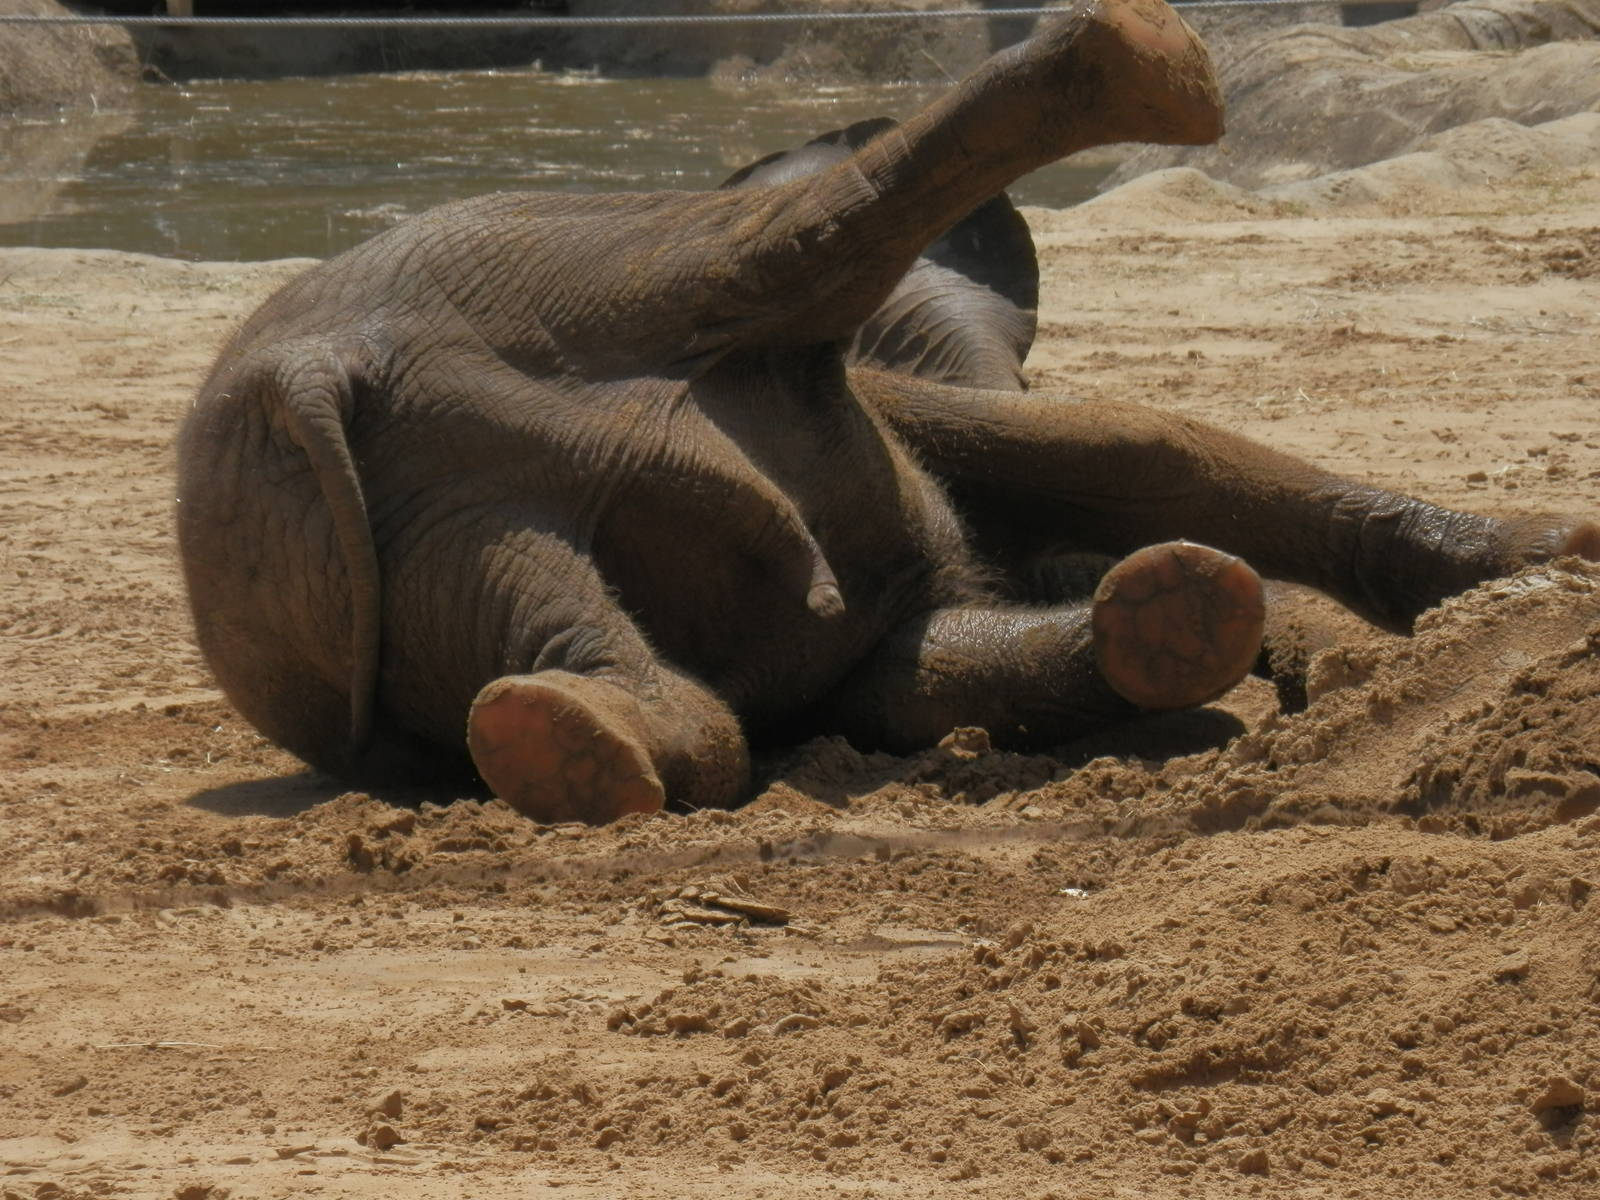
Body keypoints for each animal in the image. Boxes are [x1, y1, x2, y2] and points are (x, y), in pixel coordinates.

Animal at [176, 0, 1598, 825]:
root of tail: (327, 356)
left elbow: (931, 650)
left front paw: (1183, 611)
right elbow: (1117, 448)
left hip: (406, 532)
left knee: (571, 625)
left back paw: (575, 750)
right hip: (587, 266)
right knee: (781, 253)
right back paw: (1144, 67)